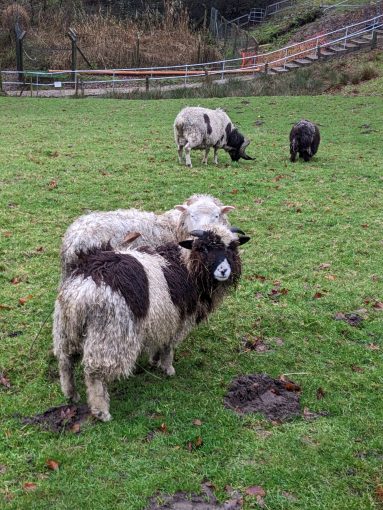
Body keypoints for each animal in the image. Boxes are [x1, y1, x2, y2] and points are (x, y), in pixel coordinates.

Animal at [54, 225, 252, 420]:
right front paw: (167, 368)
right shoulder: (177, 321)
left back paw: (70, 393)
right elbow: (169, 347)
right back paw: (101, 410)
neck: (186, 265)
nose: (223, 271)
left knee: (65, 360)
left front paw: (155, 360)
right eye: (203, 248)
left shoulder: (163, 320)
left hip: (66, 328)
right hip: (110, 333)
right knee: (94, 373)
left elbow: (160, 342)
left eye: (232, 248)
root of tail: (84, 287)